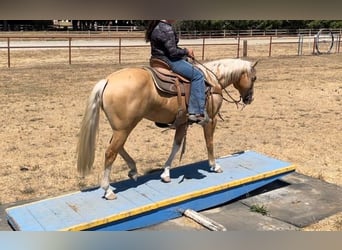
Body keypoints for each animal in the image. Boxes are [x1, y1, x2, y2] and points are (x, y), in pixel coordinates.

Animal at [77, 58, 258, 199]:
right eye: (254, 78)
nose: (249, 99)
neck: (213, 81)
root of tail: (108, 80)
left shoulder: (182, 123)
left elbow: (176, 146)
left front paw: (165, 173)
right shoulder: (210, 120)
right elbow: (209, 142)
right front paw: (215, 166)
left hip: (122, 128)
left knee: (117, 147)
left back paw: (133, 170)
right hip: (124, 128)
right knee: (110, 152)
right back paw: (108, 190)